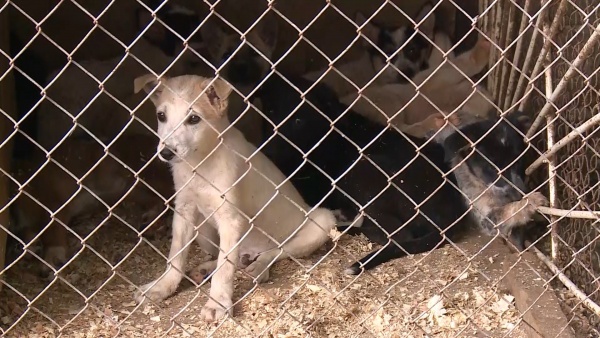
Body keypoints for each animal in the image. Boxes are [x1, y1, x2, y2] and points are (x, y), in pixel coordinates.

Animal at [132, 74, 338, 322]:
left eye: (194, 119)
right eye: (161, 116)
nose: (166, 153)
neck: (200, 163)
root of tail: (251, 251)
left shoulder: (230, 219)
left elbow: (225, 270)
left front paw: (217, 304)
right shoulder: (184, 209)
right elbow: (176, 255)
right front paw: (162, 287)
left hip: (321, 223)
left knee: (275, 252)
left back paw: (259, 268)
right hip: (204, 230)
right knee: (235, 257)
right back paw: (208, 269)